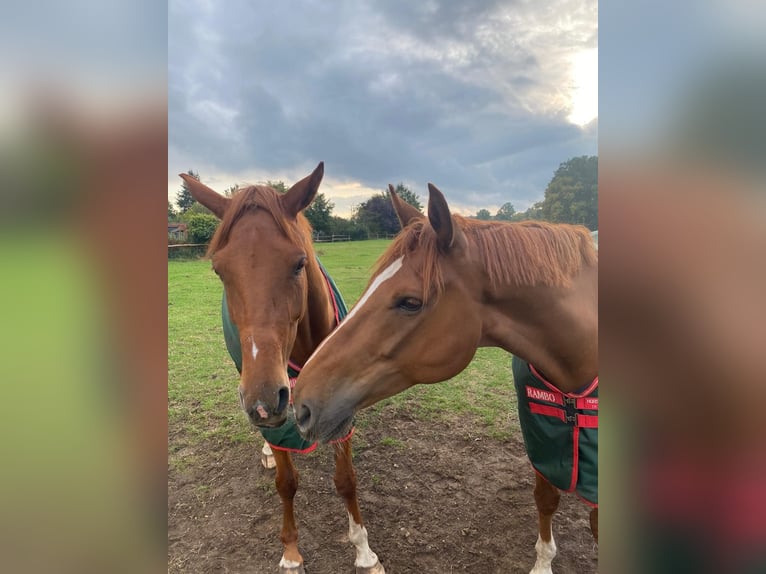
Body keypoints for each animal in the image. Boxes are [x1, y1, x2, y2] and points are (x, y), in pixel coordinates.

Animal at [179, 162, 384, 574]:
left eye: (299, 263)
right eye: (219, 271)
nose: (263, 401)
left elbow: (346, 480)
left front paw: (364, 552)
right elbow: (287, 484)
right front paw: (291, 553)